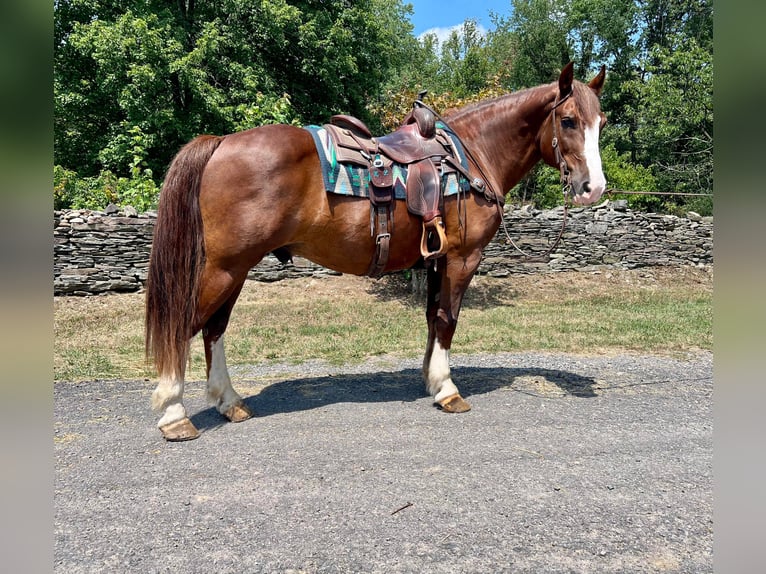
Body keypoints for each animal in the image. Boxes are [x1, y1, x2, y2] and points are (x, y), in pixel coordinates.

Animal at [147, 62, 608, 440]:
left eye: (600, 122)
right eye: (568, 120)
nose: (593, 188)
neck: (473, 156)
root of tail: (221, 142)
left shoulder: (436, 259)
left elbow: (432, 317)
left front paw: (430, 380)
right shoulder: (462, 258)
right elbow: (448, 320)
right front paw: (447, 390)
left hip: (235, 270)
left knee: (214, 330)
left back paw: (229, 402)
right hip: (224, 268)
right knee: (186, 326)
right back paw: (174, 414)